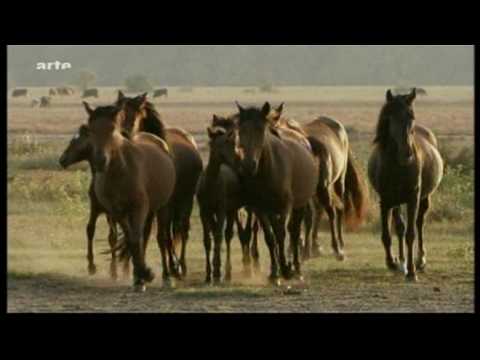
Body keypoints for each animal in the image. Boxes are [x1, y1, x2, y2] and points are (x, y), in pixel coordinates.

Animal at [58, 124, 125, 278]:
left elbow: (112, 237)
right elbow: (90, 230)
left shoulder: (111, 213)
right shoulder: (95, 208)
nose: (62, 160)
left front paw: (113, 270)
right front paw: (91, 266)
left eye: (74, 141)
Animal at [83, 101, 177, 292]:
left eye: (113, 128)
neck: (120, 173)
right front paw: (140, 276)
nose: (100, 161)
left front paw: (145, 274)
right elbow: (132, 239)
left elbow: (135, 238)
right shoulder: (117, 212)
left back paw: (166, 276)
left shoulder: (138, 208)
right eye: (90, 130)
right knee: (143, 237)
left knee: (162, 238)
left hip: (161, 208)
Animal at [370, 89, 444, 282]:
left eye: (412, 116)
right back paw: (401, 262)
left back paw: (420, 261)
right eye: (390, 117)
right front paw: (393, 262)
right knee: (399, 227)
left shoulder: (413, 197)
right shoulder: (385, 200)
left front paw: (411, 271)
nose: (406, 154)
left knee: (419, 223)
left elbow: (411, 233)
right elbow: (387, 235)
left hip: (423, 199)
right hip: (396, 202)